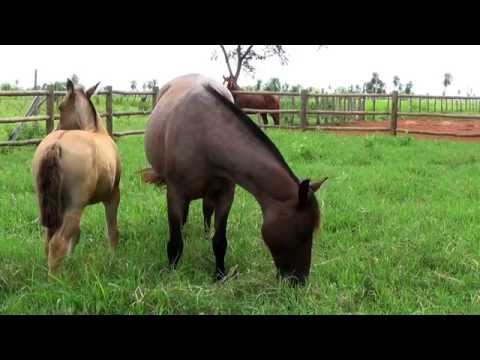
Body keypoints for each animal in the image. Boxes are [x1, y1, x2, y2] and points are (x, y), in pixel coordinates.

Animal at [32, 79, 122, 276]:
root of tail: (57, 143)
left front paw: (71, 259)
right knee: (58, 241)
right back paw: (55, 280)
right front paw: (113, 259)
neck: (96, 131)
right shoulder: (113, 195)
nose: (58, 127)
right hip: (75, 206)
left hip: (49, 203)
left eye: (60, 106)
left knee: (48, 239)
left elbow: (76, 235)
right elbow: (112, 230)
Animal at [142, 74, 326, 286]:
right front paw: (172, 271)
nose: (300, 280)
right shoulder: (174, 192)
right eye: (303, 232)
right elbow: (175, 240)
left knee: (206, 211)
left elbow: (220, 240)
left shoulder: (226, 194)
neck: (205, 134)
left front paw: (220, 275)